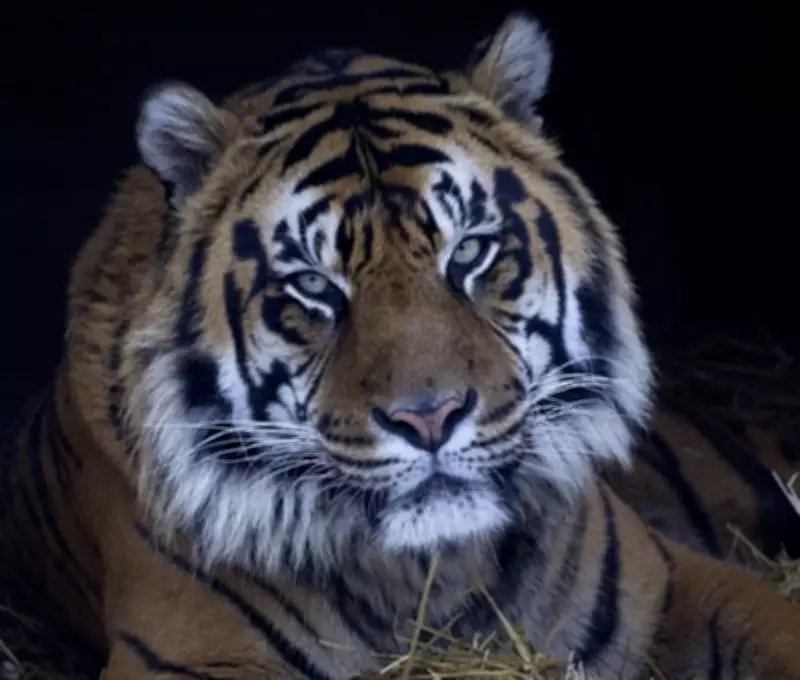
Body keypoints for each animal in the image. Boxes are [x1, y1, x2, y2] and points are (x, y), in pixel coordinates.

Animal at [2, 11, 799, 680]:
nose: (430, 418)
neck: (431, 576)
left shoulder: (676, 584)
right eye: (315, 286)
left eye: (470, 251)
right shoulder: (190, 656)